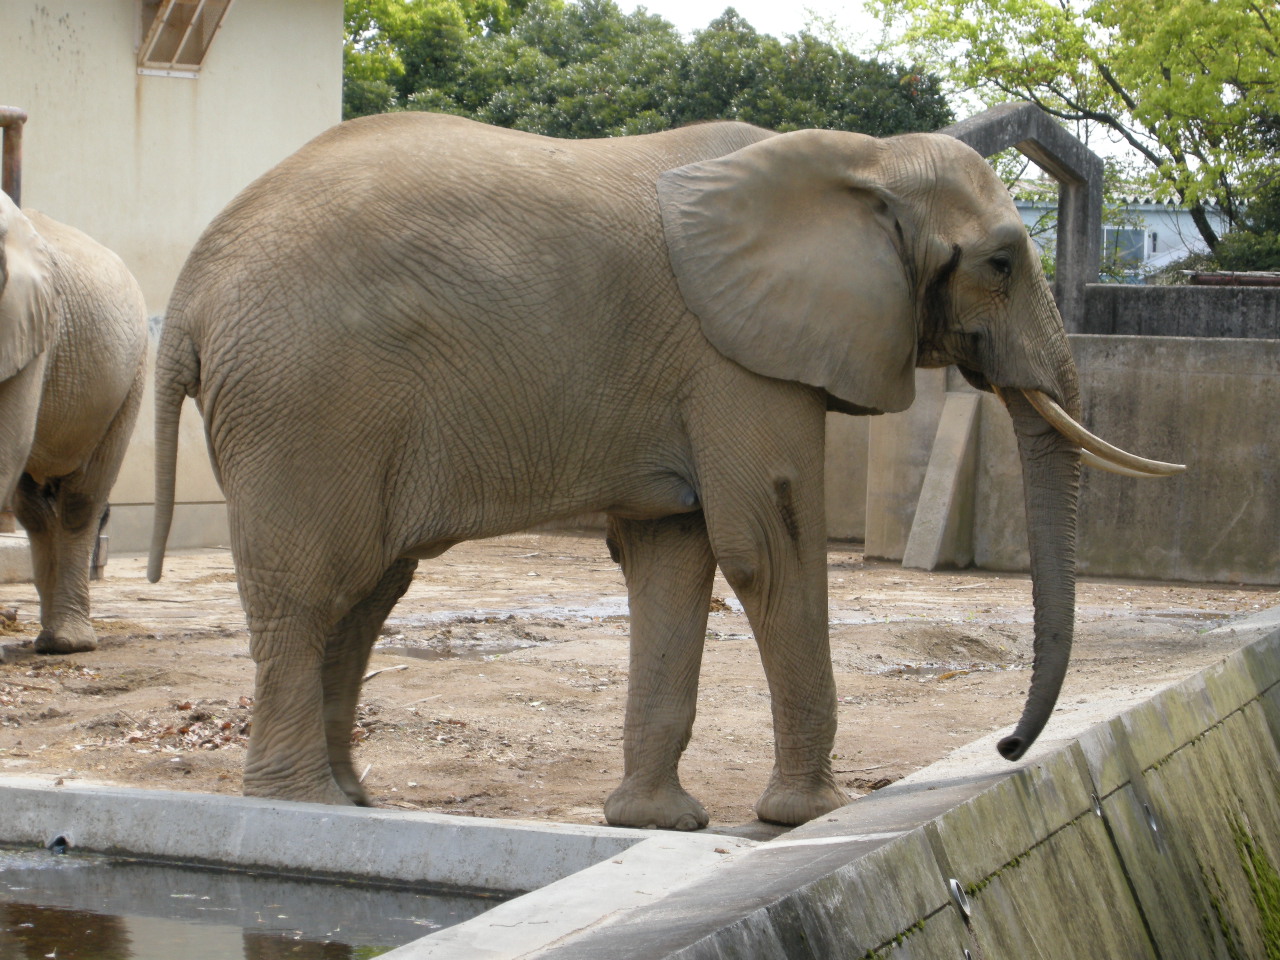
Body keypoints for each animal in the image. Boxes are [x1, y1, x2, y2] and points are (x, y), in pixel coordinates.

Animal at [147, 112, 1172, 829]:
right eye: (1001, 262)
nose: (1007, 745)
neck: (863, 160)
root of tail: (190, 290)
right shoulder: (737, 358)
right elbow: (767, 545)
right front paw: (814, 816)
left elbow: (674, 556)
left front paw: (656, 823)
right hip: (301, 401)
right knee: (312, 590)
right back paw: (302, 806)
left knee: (365, 595)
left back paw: (354, 801)